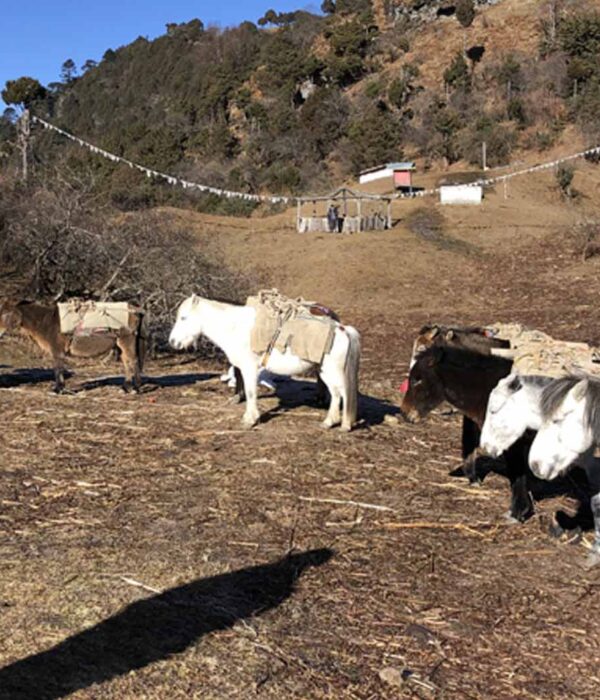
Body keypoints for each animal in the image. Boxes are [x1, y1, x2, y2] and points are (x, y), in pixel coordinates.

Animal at [0, 300, 146, 394]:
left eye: (5, 314)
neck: (46, 321)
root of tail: (134, 309)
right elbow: (59, 369)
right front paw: (60, 388)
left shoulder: (57, 351)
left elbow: (57, 369)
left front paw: (58, 389)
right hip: (120, 345)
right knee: (126, 362)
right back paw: (126, 387)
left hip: (127, 341)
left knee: (133, 361)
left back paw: (136, 387)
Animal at [168, 292, 360, 430]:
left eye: (183, 318)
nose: (172, 342)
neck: (235, 327)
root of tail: (342, 329)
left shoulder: (249, 369)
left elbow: (251, 393)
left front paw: (250, 420)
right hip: (325, 372)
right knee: (336, 395)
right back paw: (329, 422)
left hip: (332, 372)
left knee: (343, 393)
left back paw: (344, 425)